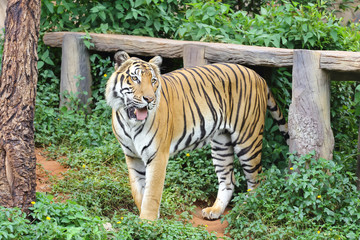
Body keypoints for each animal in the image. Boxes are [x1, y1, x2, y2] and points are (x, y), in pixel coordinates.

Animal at [105, 51, 290, 221]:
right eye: (135, 79)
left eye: (153, 81)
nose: (149, 99)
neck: (130, 122)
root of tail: (259, 77)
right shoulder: (132, 156)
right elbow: (138, 191)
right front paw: (143, 220)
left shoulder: (157, 156)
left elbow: (152, 194)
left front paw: (147, 223)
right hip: (221, 143)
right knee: (228, 180)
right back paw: (215, 211)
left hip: (248, 141)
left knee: (257, 180)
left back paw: (244, 211)